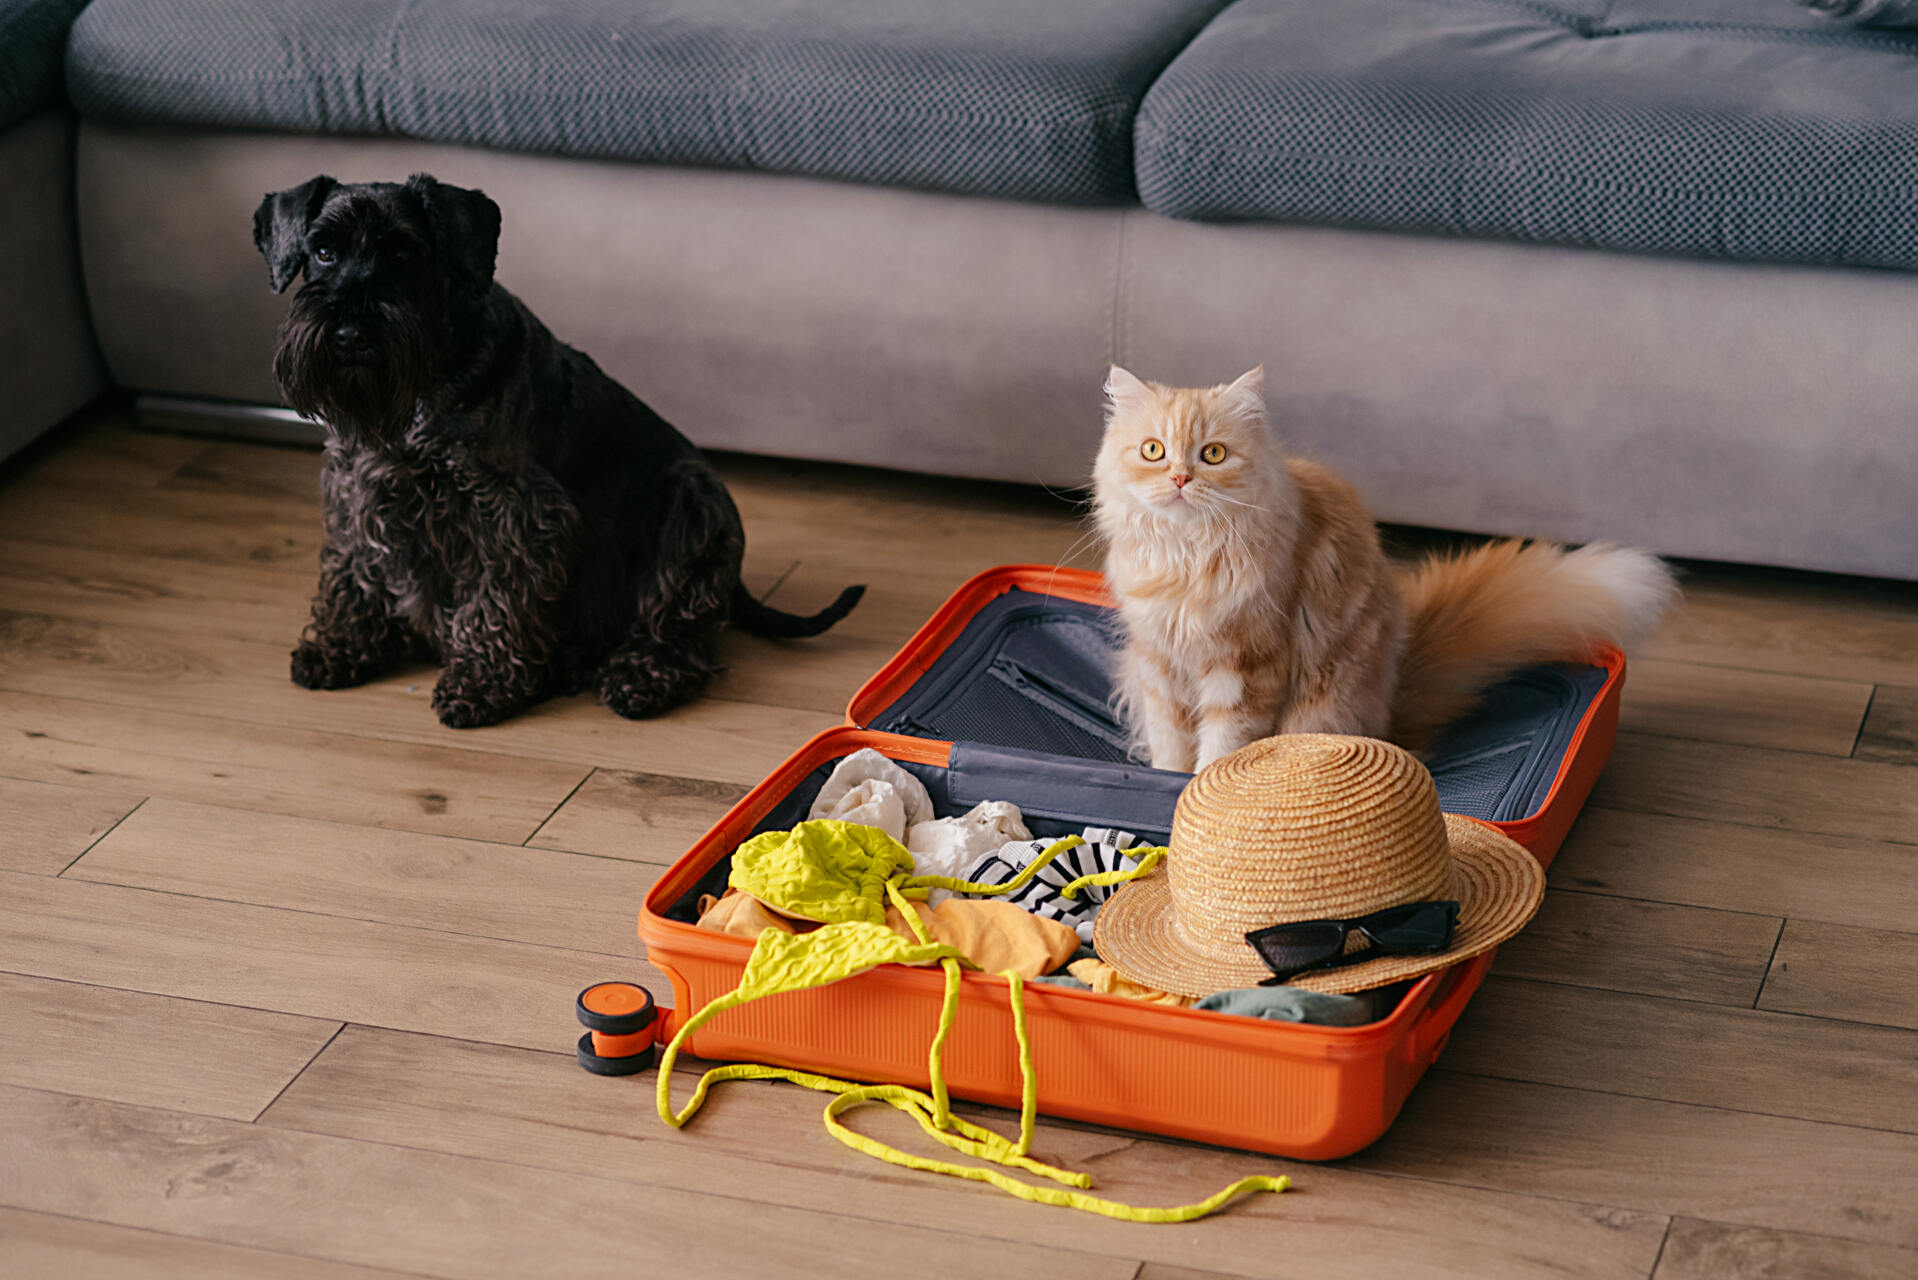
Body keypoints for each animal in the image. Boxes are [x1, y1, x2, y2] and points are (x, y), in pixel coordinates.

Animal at [253, 173, 863, 725]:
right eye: (323, 252)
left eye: (402, 252)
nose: (348, 334)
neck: (428, 378)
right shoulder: (357, 486)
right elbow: (353, 572)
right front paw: (340, 648)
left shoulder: (514, 512)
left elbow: (497, 597)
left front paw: (482, 683)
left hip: (691, 508)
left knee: (678, 632)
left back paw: (636, 677)